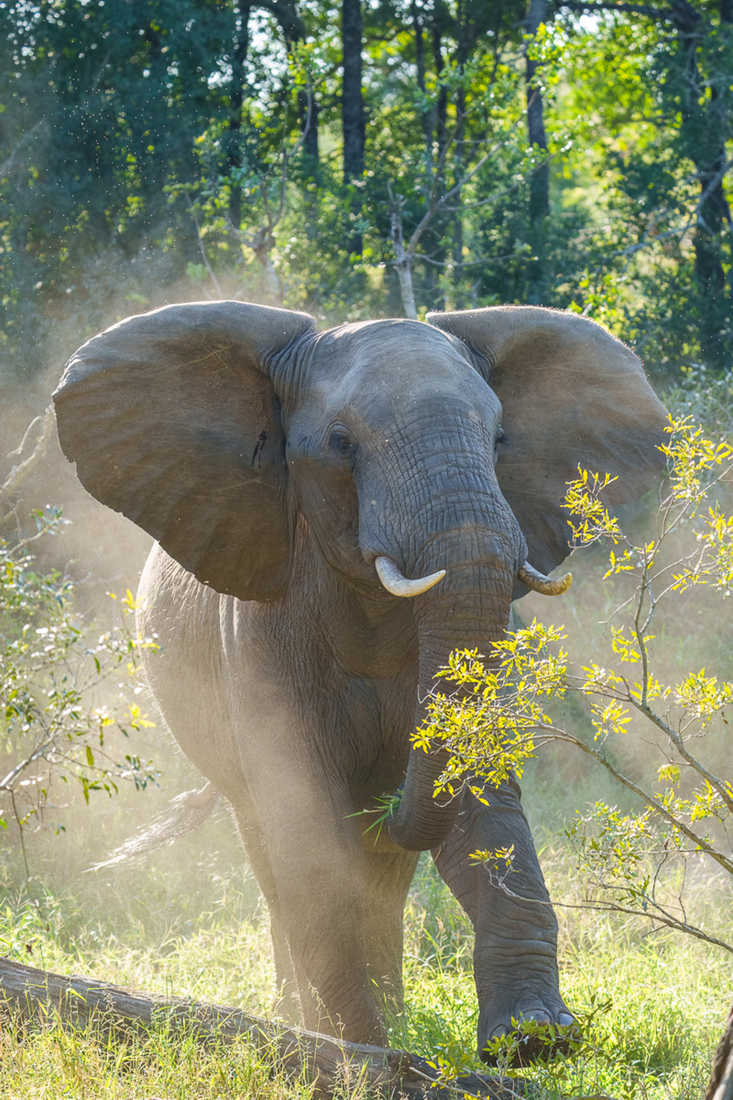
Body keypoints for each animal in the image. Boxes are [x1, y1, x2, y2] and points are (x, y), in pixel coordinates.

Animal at [53, 301, 666, 1063]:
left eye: (499, 439)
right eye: (340, 444)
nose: (389, 800)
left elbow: (479, 797)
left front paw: (530, 1040)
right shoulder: (257, 630)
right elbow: (309, 833)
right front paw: (363, 1056)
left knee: (381, 874)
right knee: (275, 856)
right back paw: (318, 1025)